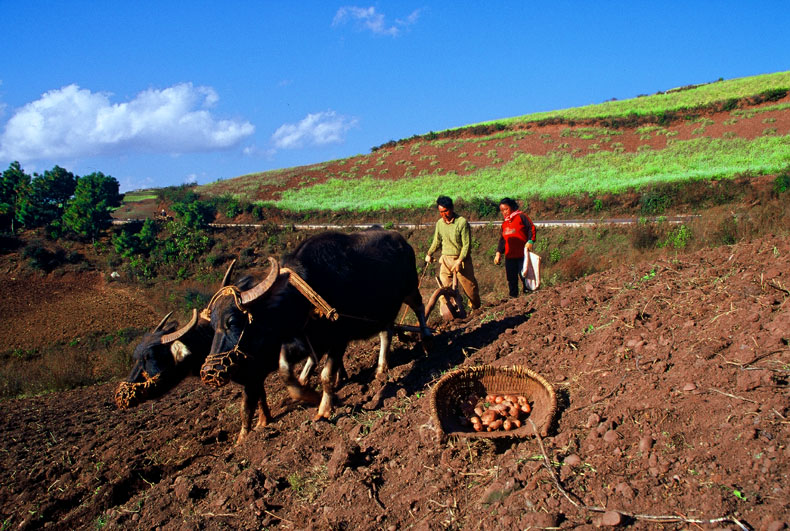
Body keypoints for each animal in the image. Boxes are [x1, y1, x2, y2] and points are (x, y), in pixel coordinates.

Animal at [201, 228, 430, 428]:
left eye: (233, 321)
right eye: (211, 325)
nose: (210, 372)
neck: (304, 296)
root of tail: (402, 240)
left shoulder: (338, 339)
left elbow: (326, 376)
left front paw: (324, 410)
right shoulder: (304, 341)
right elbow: (287, 373)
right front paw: (309, 394)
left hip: (410, 289)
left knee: (420, 308)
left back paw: (427, 343)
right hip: (383, 312)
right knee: (386, 333)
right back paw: (381, 368)